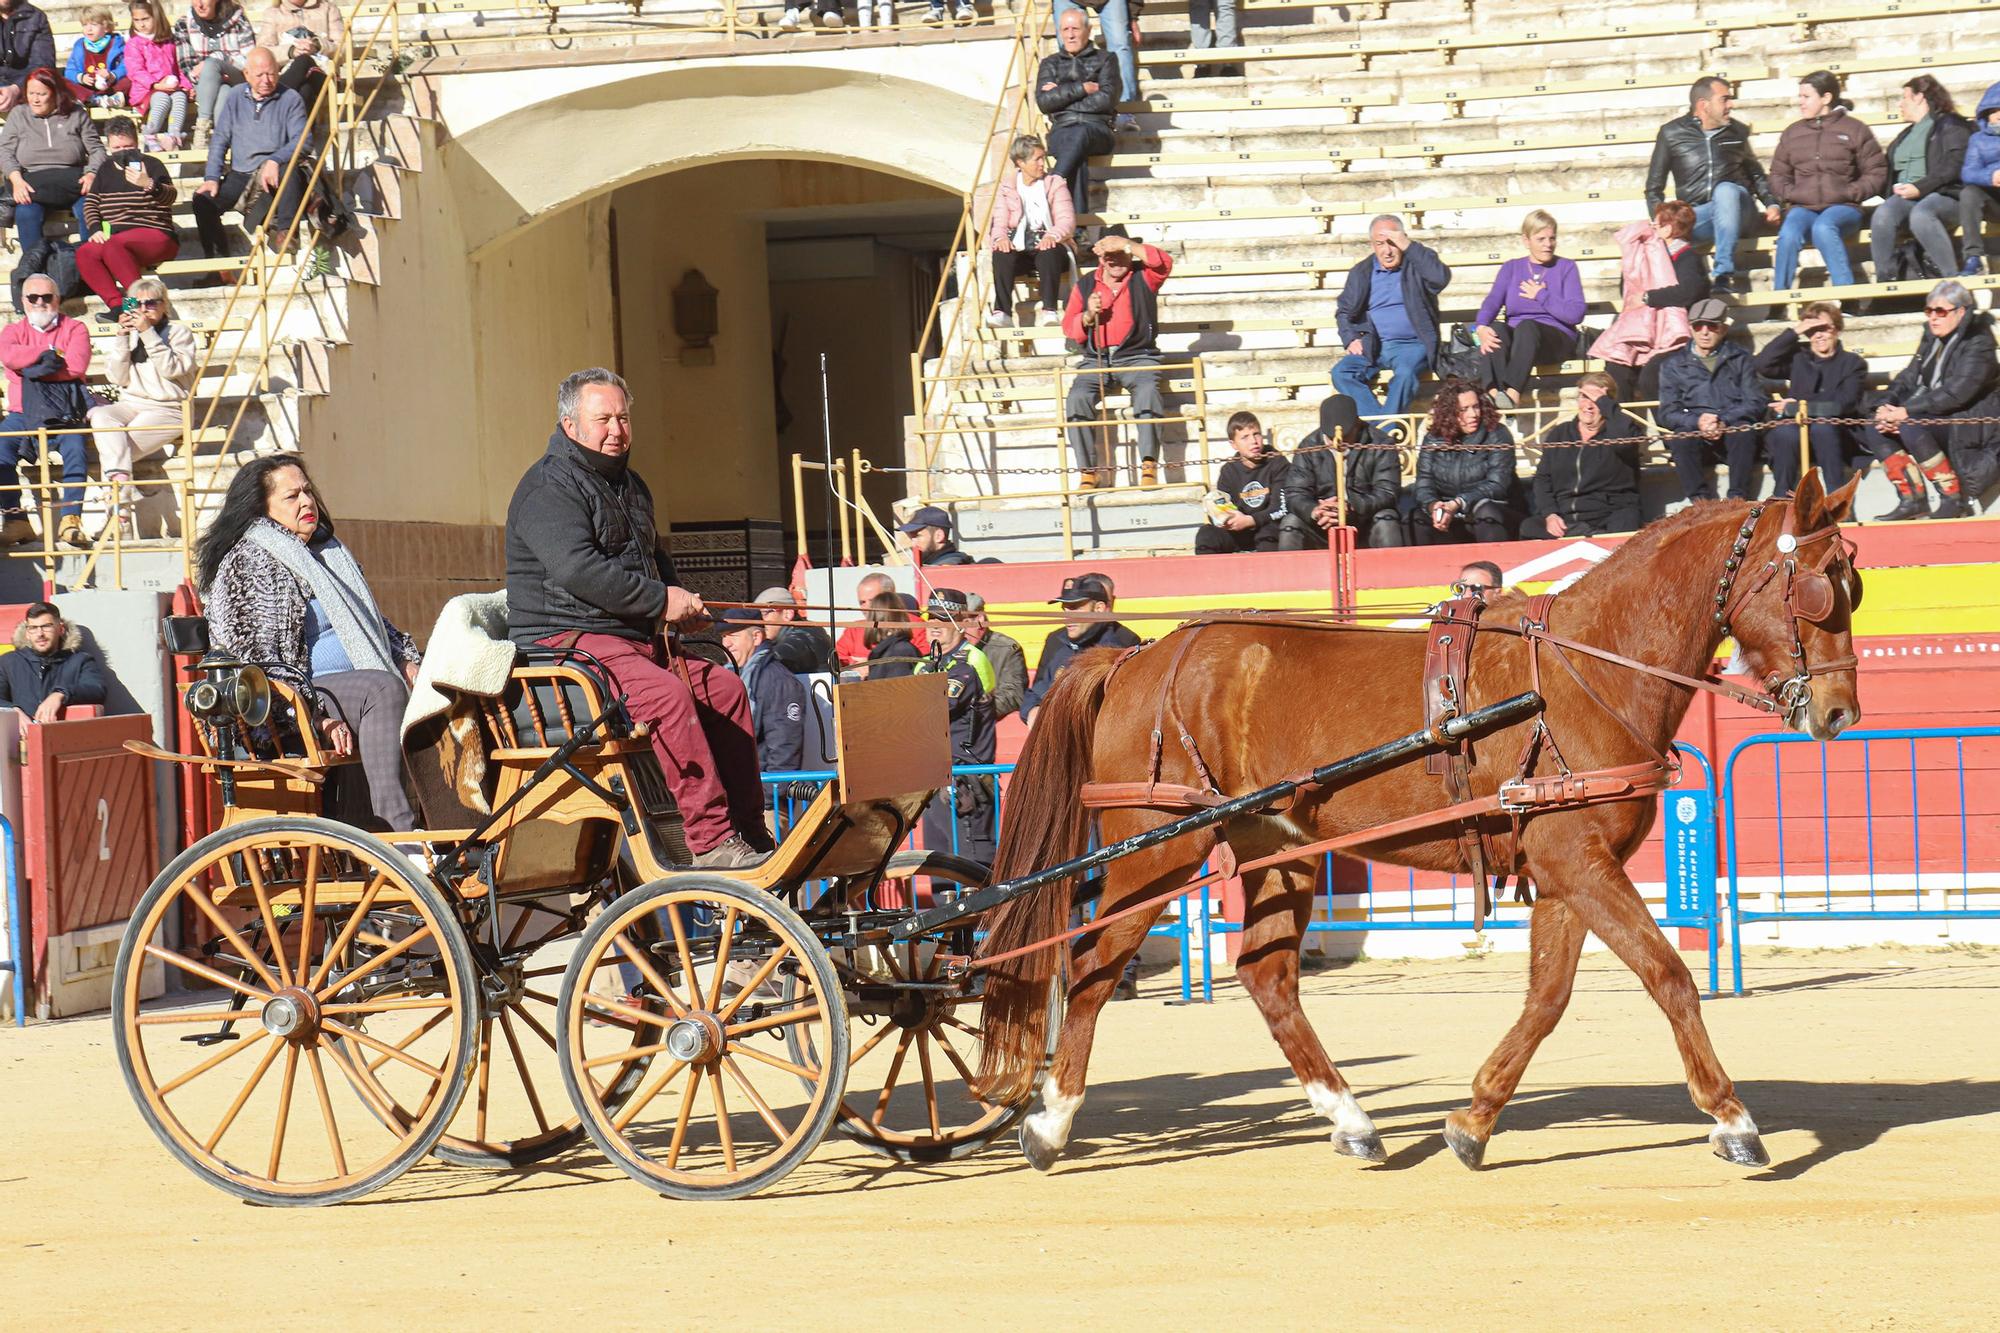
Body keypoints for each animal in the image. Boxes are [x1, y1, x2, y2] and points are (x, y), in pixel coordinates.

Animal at [976, 472, 1864, 1168]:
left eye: (1851, 587)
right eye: (1817, 587)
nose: (1839, 711)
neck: (1579, 670)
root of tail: (1136, 656)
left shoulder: (1564, 863)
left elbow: (1548, 996)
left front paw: (1474, 1116)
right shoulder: (1577, 860)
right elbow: (1668, 974)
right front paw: (1733, 1118)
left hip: (1278, 849)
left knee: (1267, 976)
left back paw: (1350, 1117)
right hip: (1156, 848)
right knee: (1092, 965)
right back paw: (1051, 1120)